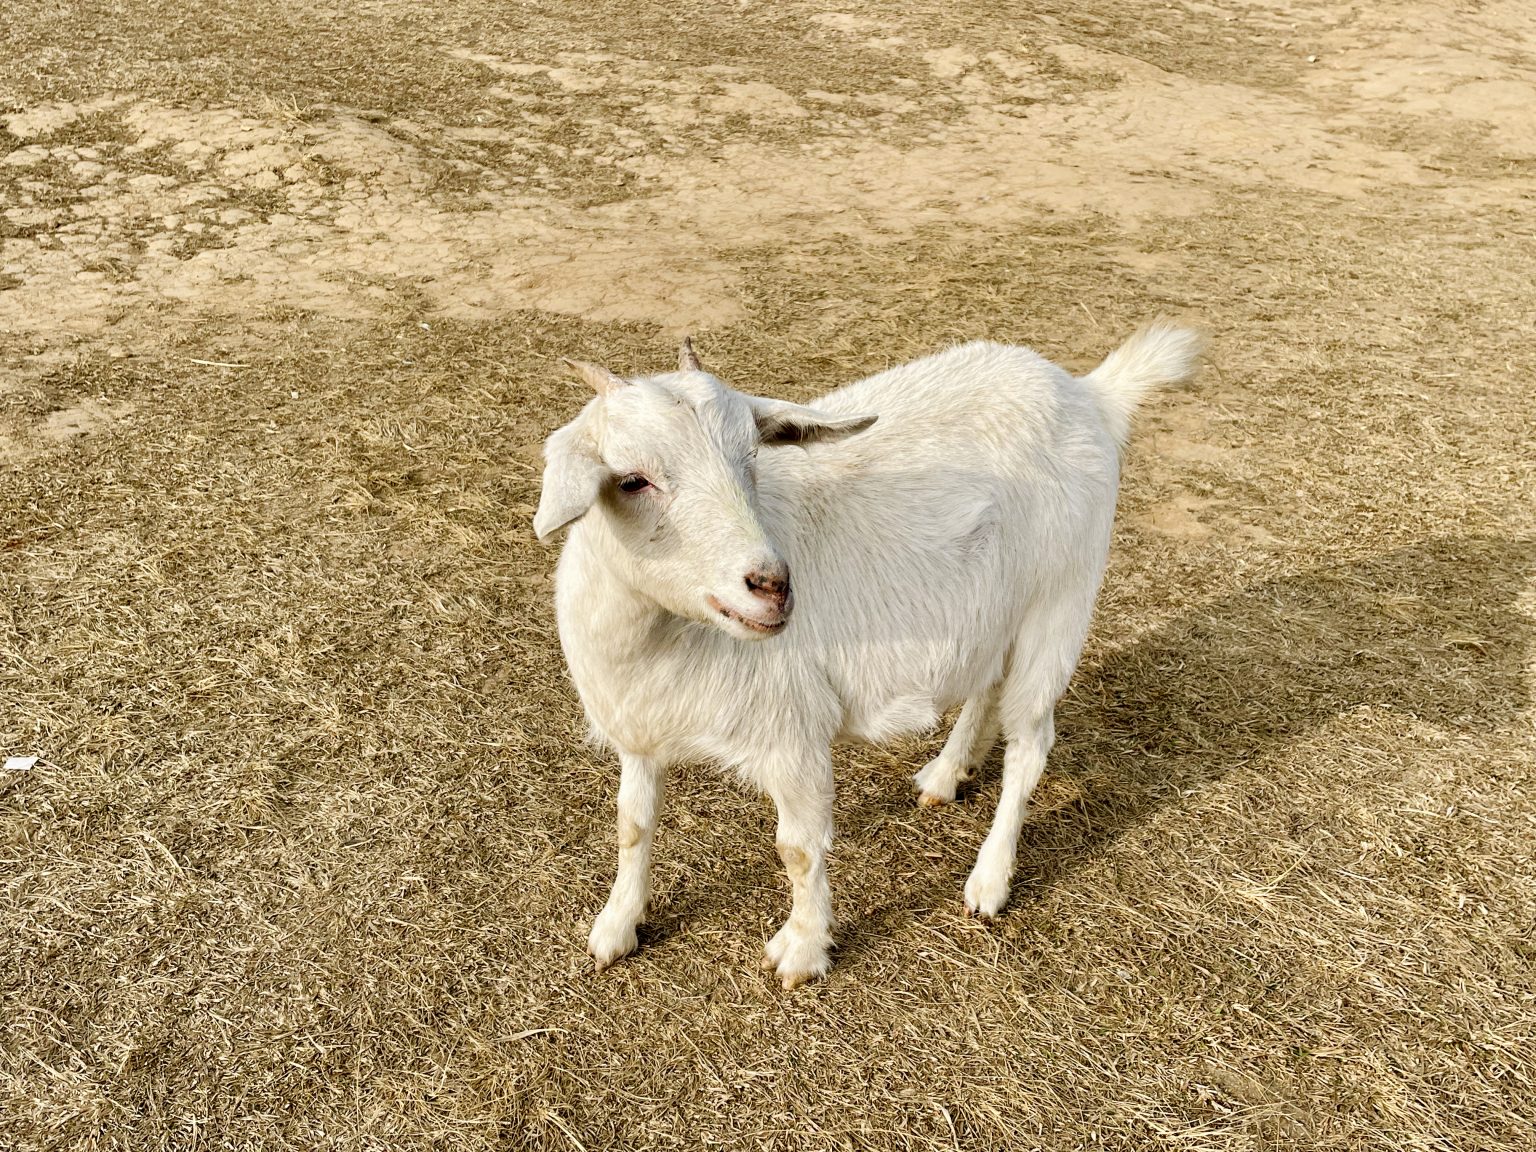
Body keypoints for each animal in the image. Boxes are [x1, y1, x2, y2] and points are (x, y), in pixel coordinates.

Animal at [533, 323, 1203, 987]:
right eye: (632, 480)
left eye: (752, 458)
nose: (773, 585)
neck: (660, 637)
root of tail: (1090, 394)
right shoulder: (638, 728)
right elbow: (632, 825)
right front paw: (616, 927)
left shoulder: (794, 733)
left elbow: (798, 849)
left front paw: (802, 951)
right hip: (994, 610)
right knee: (987, 686)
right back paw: (947, 772)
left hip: (1059, 603)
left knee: (1031, 742)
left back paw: (988, 879)